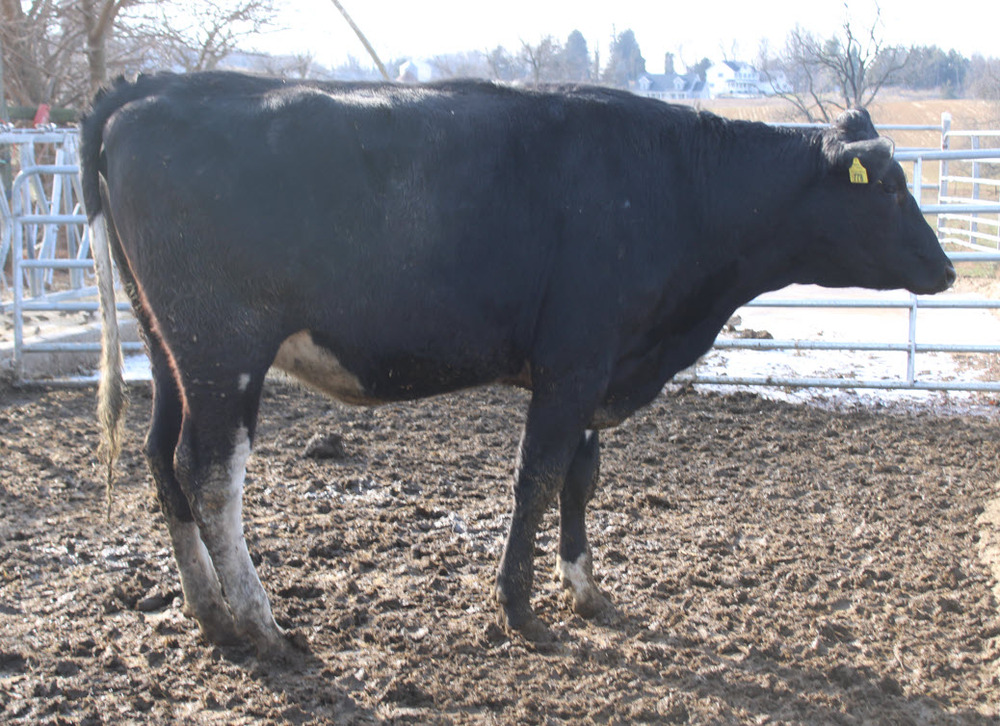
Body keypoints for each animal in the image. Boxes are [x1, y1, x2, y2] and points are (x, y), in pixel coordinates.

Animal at [80, 71, 955, 660]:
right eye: (888, 185)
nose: (947, 270)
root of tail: (146, 91)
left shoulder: (599, 366)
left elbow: (580, 479)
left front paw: (587, 589)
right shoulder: (573, 364)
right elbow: (536, 477)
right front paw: (522, 610)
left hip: (167, 350)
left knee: (162, 459)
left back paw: (210, 613)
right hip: (222, 352)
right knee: (210, 474)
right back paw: (262, 624)